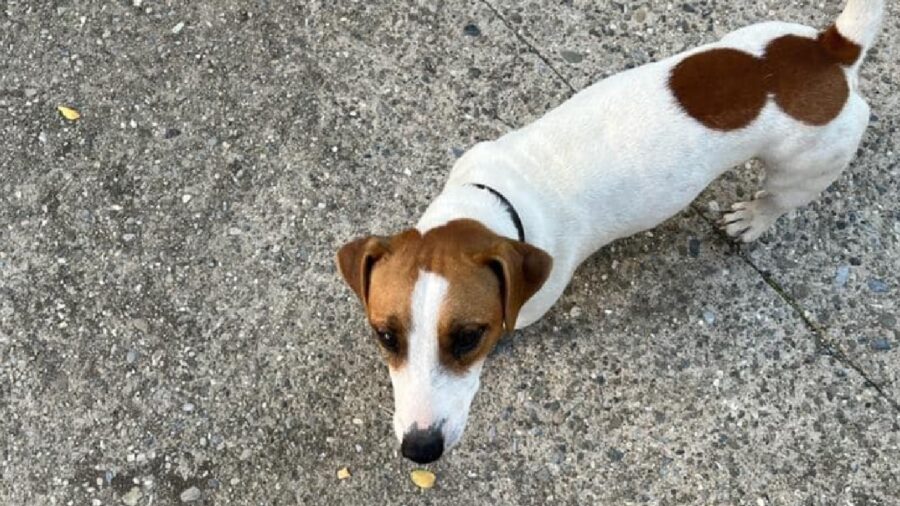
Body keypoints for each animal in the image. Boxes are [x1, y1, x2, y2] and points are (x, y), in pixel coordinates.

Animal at [334, 0, 884, 462]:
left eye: (471, 337)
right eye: (386, 336)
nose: (419, 450)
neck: (491, 200)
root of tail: (830, 52)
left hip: (802, 173)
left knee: (776, 200)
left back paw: (753, 218)